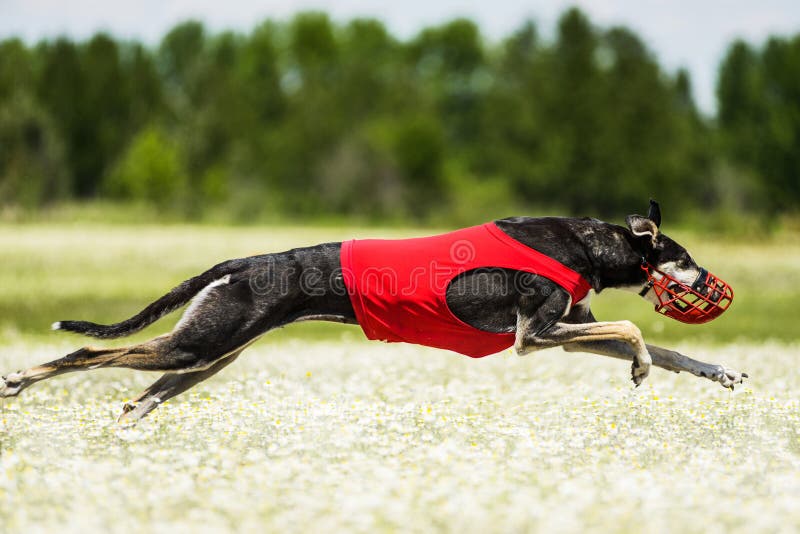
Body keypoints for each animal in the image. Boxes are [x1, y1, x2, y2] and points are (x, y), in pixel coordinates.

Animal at [3, 201, 748, 422]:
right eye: (684, 257)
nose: (716, 281)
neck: (583, 241)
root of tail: (243, 261)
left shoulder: (566, 333)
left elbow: (667, 347)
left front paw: (720, 372)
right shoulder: (536, 335)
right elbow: (635, 327)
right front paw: (641, 369)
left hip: (207, 355)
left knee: (140, 398)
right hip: (199, 347)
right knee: (87, 352)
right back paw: (19, 379)